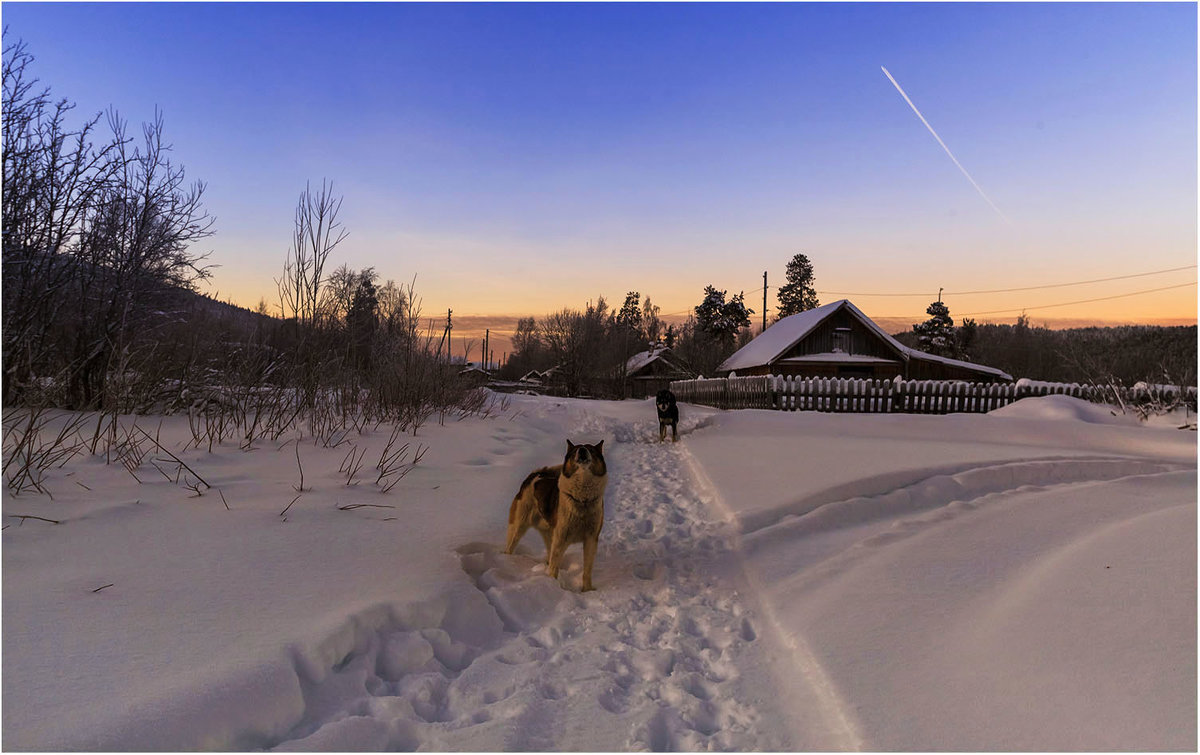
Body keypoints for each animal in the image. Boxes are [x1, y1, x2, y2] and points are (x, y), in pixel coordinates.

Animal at [501, 439, 604, 592]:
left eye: (591, 450)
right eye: (575, 451)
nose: (582, 450)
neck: (582, 500)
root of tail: (534, 476)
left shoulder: (591, 539)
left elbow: (587, 569)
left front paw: (587, 590)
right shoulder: (561, 538)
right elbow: (555, 567)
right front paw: (553, 586)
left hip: (548, 532)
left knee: (549, 553)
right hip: (519, 525)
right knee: (511, 544)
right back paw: (507, 561)